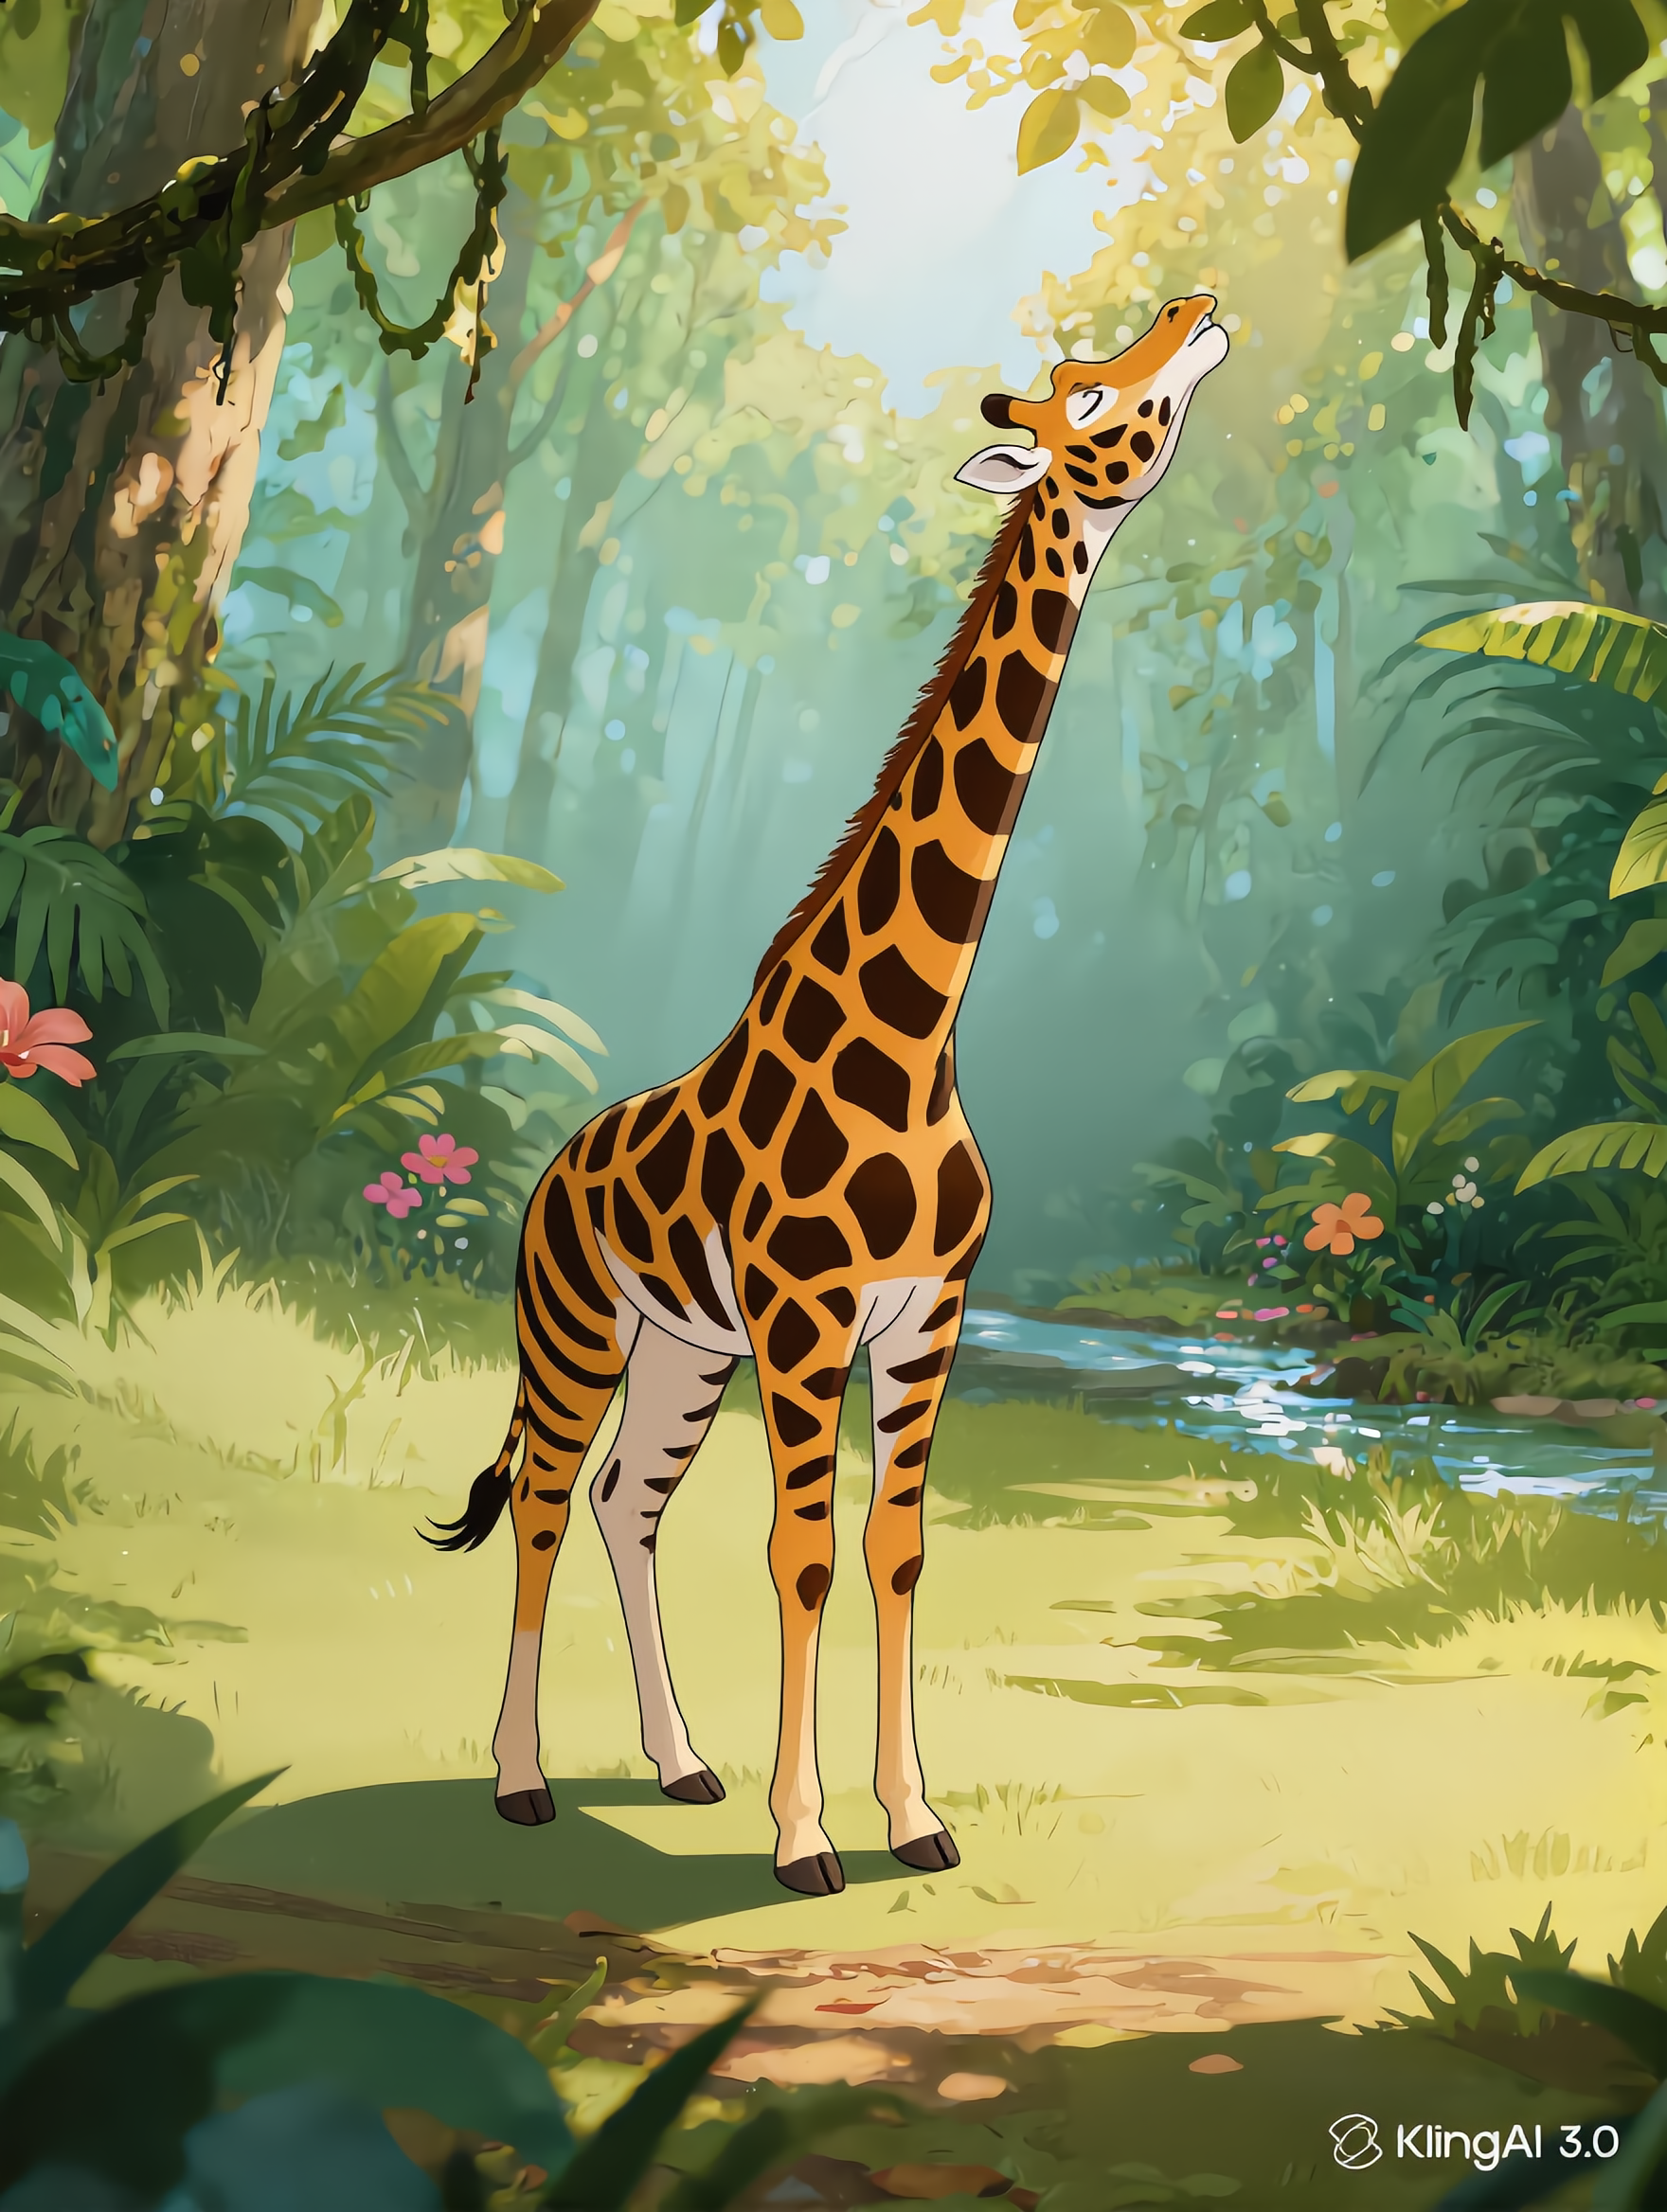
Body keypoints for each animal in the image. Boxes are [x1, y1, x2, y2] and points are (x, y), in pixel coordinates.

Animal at [427, 292, 1229, 1894]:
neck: (918, 1039)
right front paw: (808, 1844)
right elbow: (798, 1552)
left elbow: (893, 1546)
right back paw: (523, 1782)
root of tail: (549, 1170)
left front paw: (913, 1822)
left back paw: (680, 1767)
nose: (1197, 311)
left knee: (624, 1504)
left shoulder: (928, 1318)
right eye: (1088, 392)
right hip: (575, 1331)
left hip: (684, 1350)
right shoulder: (807, 1322)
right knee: (544, 1503)